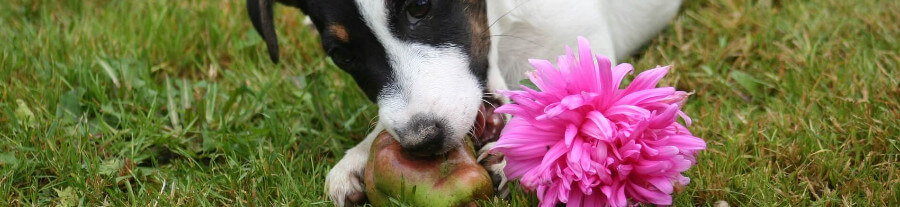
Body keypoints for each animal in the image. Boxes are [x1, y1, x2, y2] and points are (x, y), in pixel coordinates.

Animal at [246, 0, 684, 205]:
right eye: (342, 55)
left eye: (420, 6)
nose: (423, 141)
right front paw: (359, 155)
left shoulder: (585, 49)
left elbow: (576, 108)